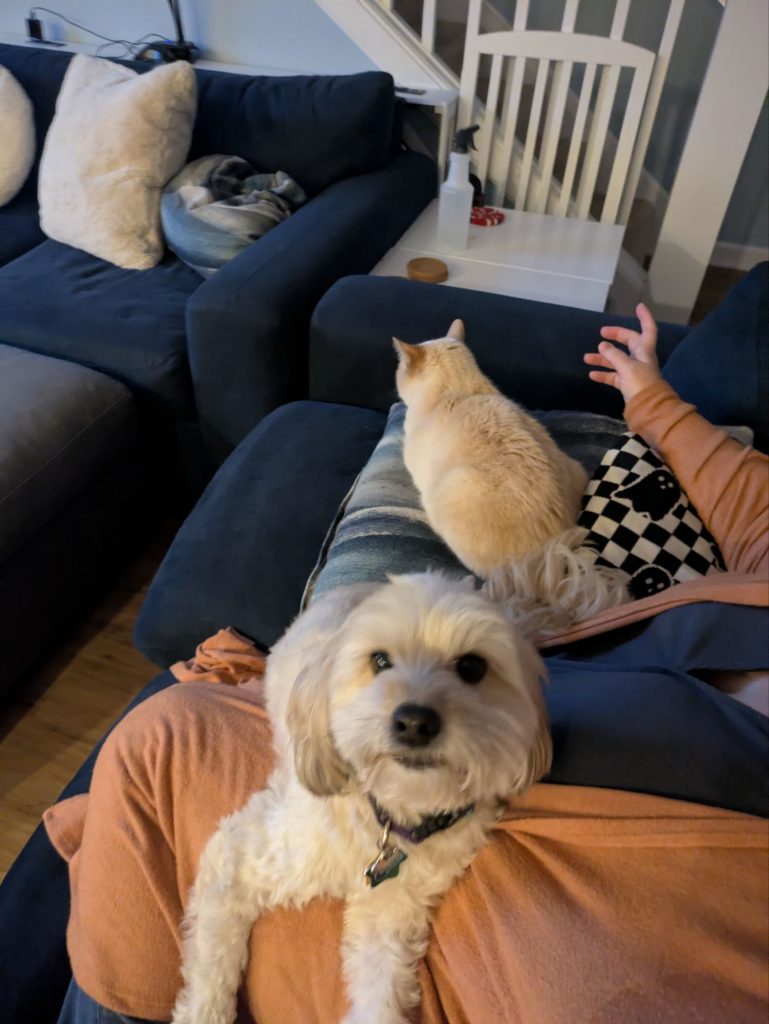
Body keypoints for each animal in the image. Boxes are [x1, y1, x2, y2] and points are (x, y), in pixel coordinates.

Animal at [171, 572, 552, 1024]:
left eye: (472, 667)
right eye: (380, 661)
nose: (415, 721)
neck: (389, 815)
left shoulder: (389, 913)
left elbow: (380, 988)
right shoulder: (242, 857)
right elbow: (215, 956)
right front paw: (204, 1008)